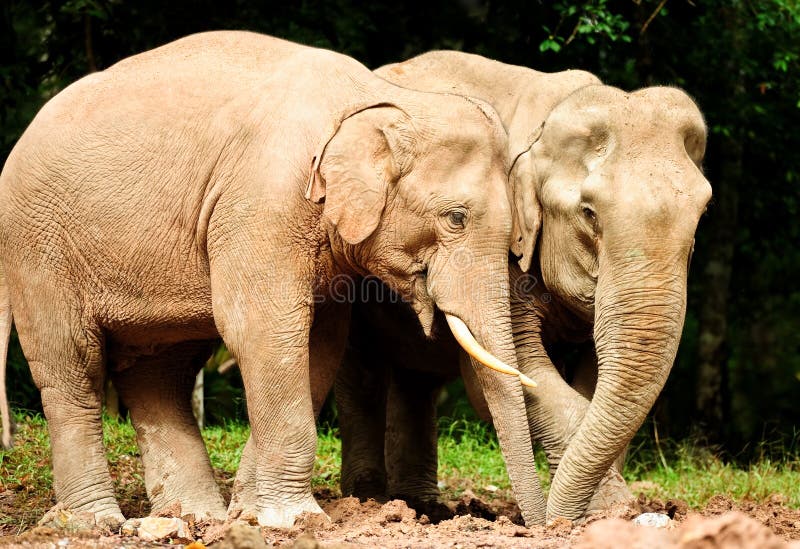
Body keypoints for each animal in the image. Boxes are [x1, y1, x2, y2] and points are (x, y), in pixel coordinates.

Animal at [0, 32, 544, 528]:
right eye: (455, 218)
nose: (536, 526)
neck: (377, 96)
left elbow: (318, 344)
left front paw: (249, 513)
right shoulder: (263, 202)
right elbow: (262, 330)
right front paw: (295, 519)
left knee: (159, 374)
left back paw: (195, 517)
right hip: (39, 248)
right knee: (72, 368)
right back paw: (95, 522)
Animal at [334, 50, 708, 524]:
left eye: (702, 214)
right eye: (589, 213)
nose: (547, 522)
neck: (549, 118)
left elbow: (592, 380)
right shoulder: (498, 245)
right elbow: (515, 370)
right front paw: (608, 509)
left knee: (416, 378)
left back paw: (421, 506)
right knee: (363, 373)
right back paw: (369, 501)